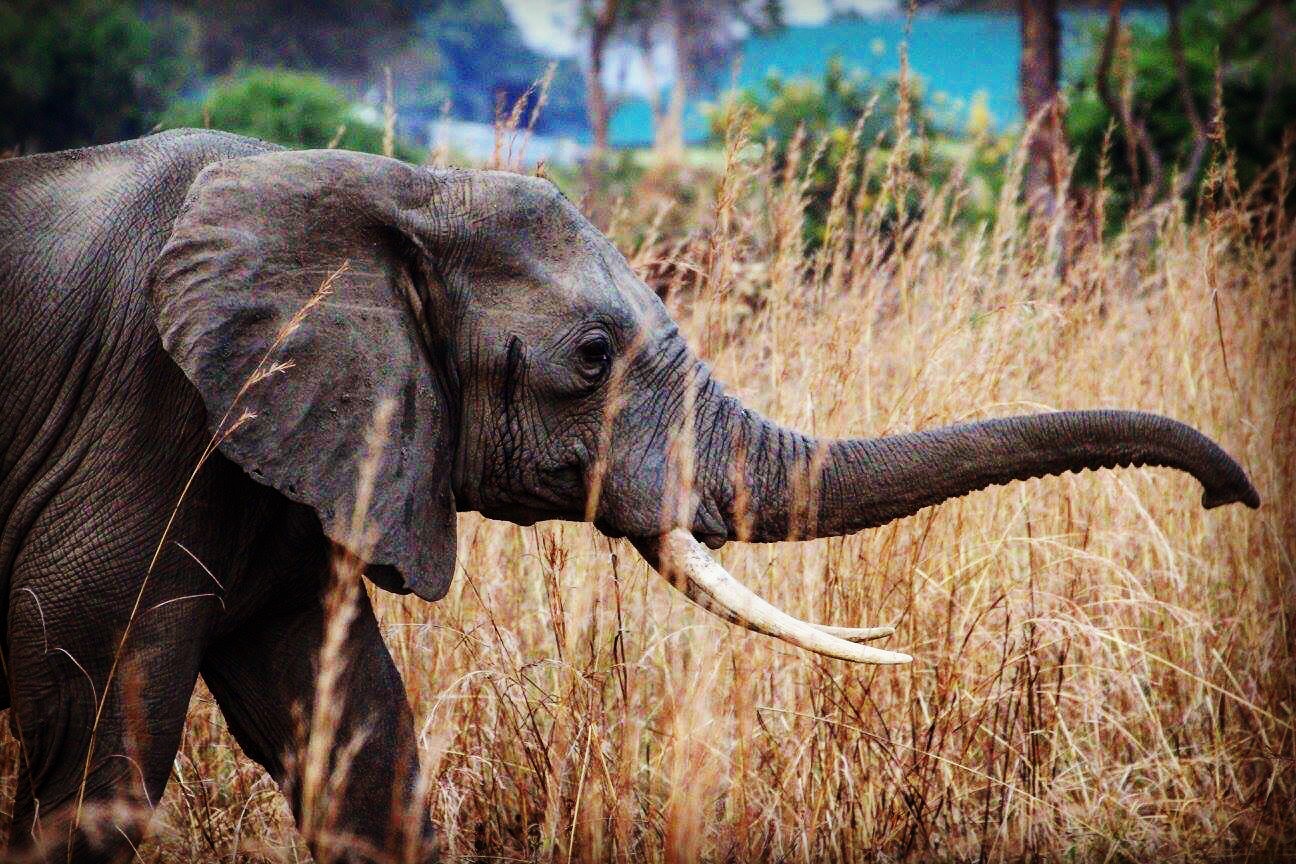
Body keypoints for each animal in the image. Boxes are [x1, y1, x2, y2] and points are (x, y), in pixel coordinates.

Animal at [0, 129, 1259, 862]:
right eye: (594, 356)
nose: (1232, 499)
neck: (389, 186)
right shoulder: (148, 421)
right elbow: (92, 755)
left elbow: (359, 748)